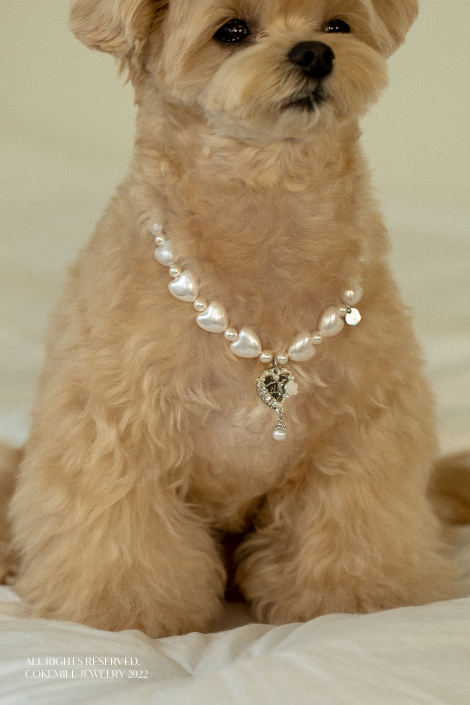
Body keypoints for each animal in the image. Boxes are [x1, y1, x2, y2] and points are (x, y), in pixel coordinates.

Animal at [1, 0, 468, 640]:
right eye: (232, 32)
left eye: (337, 26)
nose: (314, 53)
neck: (267, 216)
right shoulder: (114, 433)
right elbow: (121, 542)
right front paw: (125, 610)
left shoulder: (362, 435)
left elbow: (351, 529)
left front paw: (352, 599)